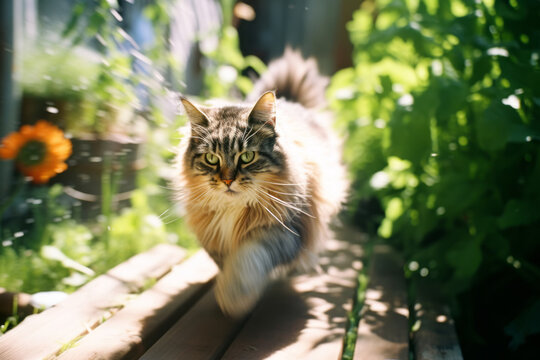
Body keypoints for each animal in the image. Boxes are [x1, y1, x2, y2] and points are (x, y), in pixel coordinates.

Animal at [175, 49, 348, 316]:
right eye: (211, 158)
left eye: (247, 156)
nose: (227, 180)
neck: (232, 210)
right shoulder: (214, 237)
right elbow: (226, 262)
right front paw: (227, 285)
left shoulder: (281, 232)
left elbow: (247, 259)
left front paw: (234, 296)